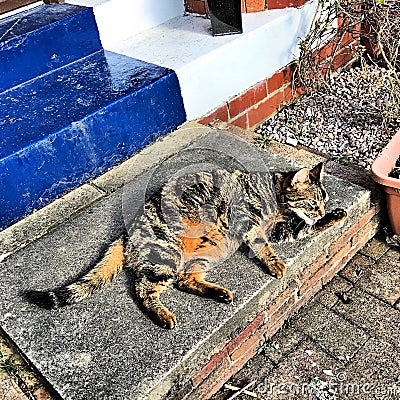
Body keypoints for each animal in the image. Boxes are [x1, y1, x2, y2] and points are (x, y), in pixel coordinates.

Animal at [27, 162, 346, 328]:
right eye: (313, 202)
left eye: (324, 201)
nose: (320, 210)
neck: (274, 196)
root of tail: (126, 234)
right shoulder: (250, 224)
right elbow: (264, 246)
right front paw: (276, 263)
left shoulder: (279, 229)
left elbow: (301, 229)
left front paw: (334, 216)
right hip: (167, 255)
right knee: (143, 289)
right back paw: (165, 316)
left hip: (204, 254)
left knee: (184, 280)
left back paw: (219, 293)